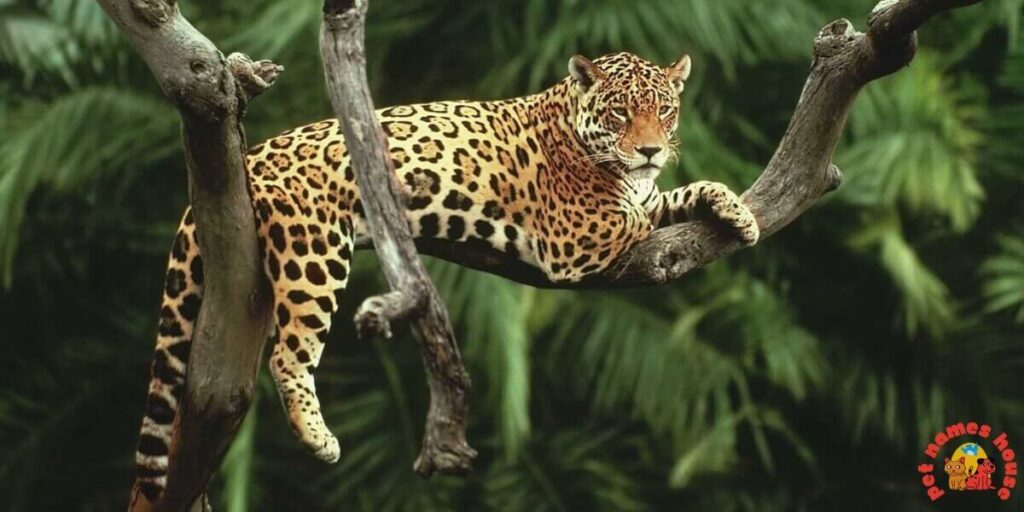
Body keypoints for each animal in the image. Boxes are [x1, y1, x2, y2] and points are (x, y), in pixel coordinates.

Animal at [134, 51, 759, 500]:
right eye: (620, 113)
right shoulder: (576, 235)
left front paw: (737, 212)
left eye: (665, 111)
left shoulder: (637, 197)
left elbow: (675, 194)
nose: (651, 150)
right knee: (289, 354)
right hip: (315, 252)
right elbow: (638, 212)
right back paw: (319, 438)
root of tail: (250, 157)